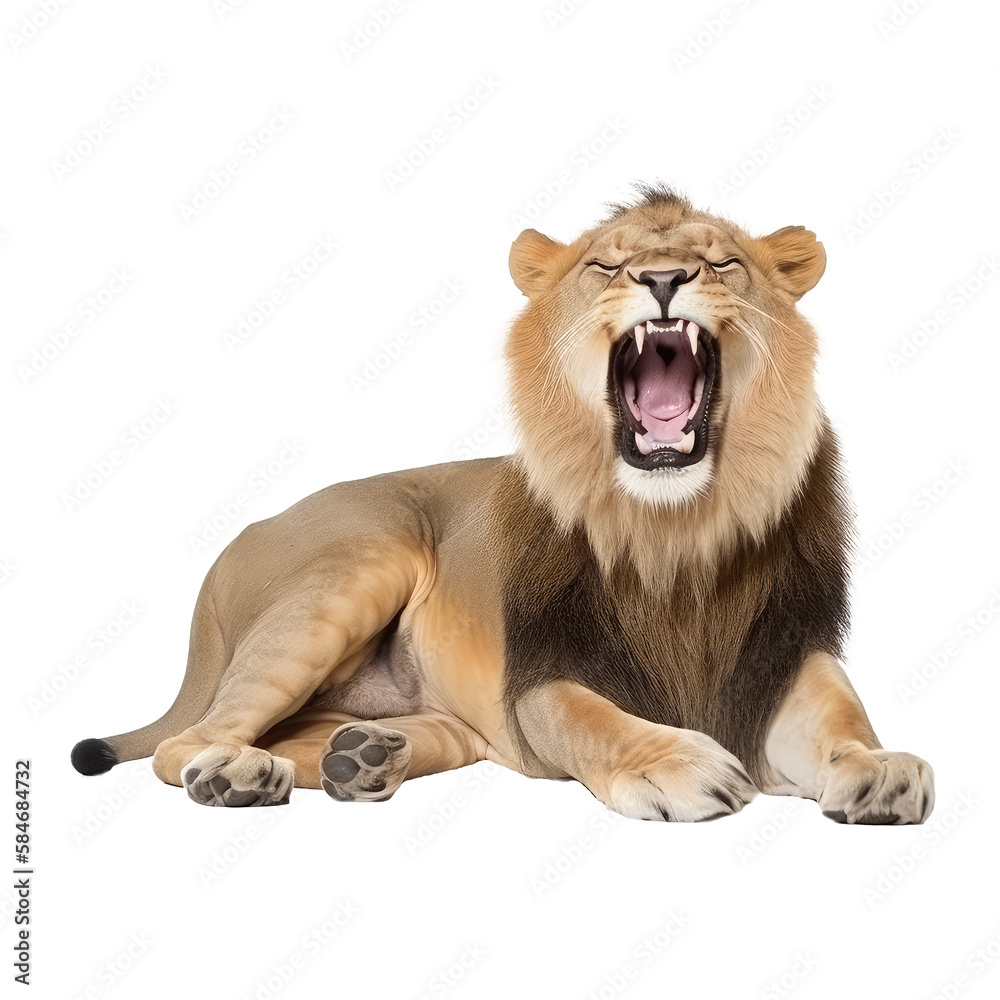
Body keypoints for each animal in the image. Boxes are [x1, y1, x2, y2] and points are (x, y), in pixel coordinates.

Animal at [72, 185, 934, 824]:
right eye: (607, 265)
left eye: (719, 260)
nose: (663, 280)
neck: (673, 531)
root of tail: (242, 535)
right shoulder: (542, 676)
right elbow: (594, 719)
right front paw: (675, 760)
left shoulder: (784, 650)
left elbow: (839, 714)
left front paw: (878, 768)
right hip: (357, 563)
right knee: (188, 740)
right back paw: (236, 775)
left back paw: (361, 758)